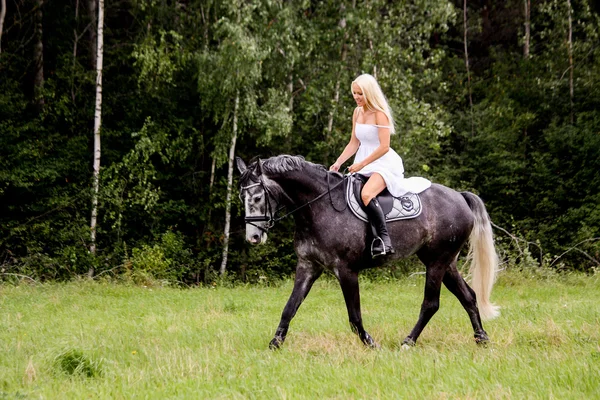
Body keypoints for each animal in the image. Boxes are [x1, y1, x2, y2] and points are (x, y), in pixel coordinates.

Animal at [237, 155, 500, 348]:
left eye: (257, 197)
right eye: (242, 197)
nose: (253, 238)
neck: (316, 207)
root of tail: (460, 197)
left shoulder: (345, 270)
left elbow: (354, 316)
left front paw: (370, 343)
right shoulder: (308, 266)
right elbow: (290, 307)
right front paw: (275, 343)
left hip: (437, 261)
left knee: (431, 303)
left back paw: (408, 342)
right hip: (444, 261)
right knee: (468, 296)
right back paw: (481, 338)